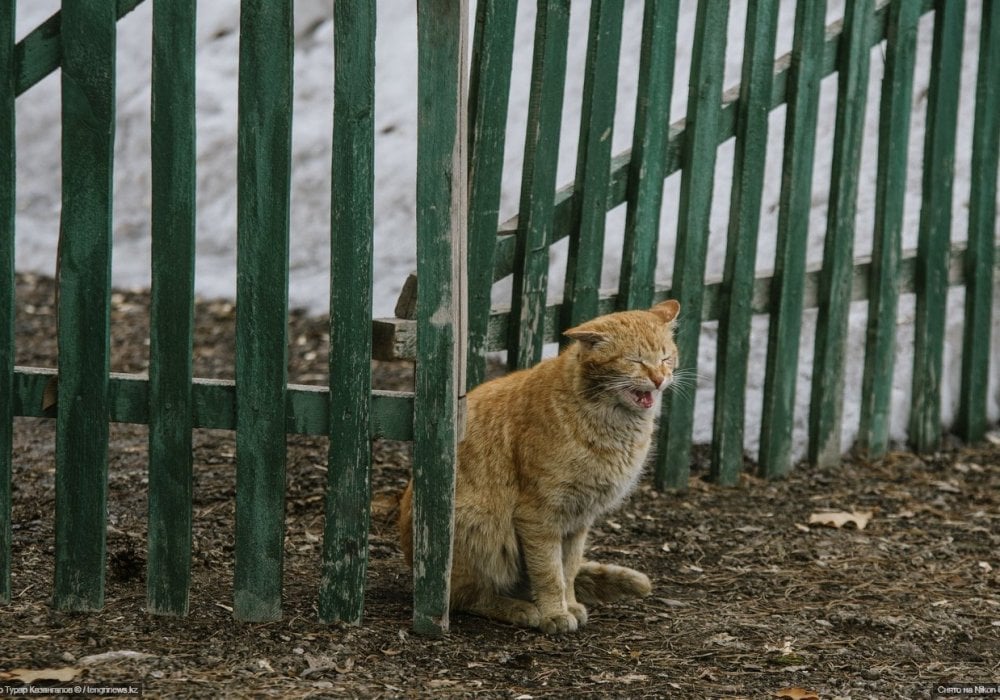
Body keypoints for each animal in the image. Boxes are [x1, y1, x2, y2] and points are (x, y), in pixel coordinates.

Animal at [398, 300, 680, 636]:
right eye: (635, 361)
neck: (610, 423)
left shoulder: (579, 520)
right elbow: (549, 573)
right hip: (479, 528)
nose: (659, 379)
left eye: (665, 357)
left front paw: (570, 604)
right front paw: (554, 613)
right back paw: (519, 608)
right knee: (467, 597)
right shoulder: (539, 517)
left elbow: (568, 570)